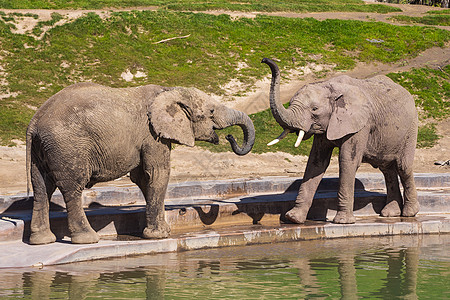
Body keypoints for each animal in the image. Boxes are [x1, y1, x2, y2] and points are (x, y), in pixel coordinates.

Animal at [26, 82, 255, 244]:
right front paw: (159, 235)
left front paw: (163, 231)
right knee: (72, 188)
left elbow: (144, 178)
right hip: (68, 146)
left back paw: (41, 241)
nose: (229, 138)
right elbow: (158, 173)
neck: (168, 91)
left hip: (42, 150)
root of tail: (34, 122)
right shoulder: (152, 135)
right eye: (210, 113)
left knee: (41, 188)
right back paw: (87, 239)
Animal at [262, 57, 420, 224]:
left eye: (314, 109)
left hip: (411, 128)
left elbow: (347, 161)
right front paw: (293, 218)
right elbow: (316, 163)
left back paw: (409, 213)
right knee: (387, 169)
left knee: (403, 167)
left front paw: (342, 221)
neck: (329, 86)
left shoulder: (360, 125)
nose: (265, 60)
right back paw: (390, 214)